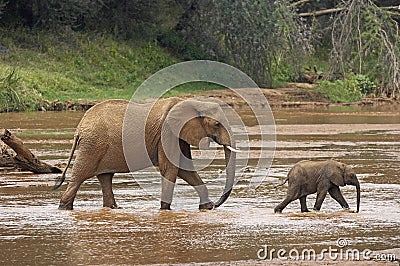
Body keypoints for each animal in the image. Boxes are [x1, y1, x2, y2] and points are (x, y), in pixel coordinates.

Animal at [53, 97, 238, 210]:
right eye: (217, 124)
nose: (217, 204)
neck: (193, 102)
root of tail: (79, 128)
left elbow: (184, 168)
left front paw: (206, 207)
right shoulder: (167, 133)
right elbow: (171, 168)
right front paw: (165, 210)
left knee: (105, 177)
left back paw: (113, 208)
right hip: (91, 147)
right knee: (79, 176)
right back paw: (64, 207)